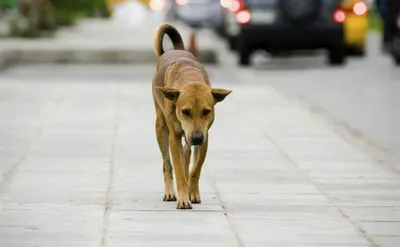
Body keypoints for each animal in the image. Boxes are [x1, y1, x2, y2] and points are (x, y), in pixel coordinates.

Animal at [152, 23, 231, 209]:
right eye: (185, 111)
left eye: (206, 111)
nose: (196, 137)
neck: (189, 77)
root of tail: (175, 50)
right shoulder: (174, 137)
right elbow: (178, 168)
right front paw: (182, 198)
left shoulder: (205, 136)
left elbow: (196, 168)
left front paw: (192, 192)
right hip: (161, 127)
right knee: (167, 163)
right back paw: (170, 192)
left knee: (187, 155)